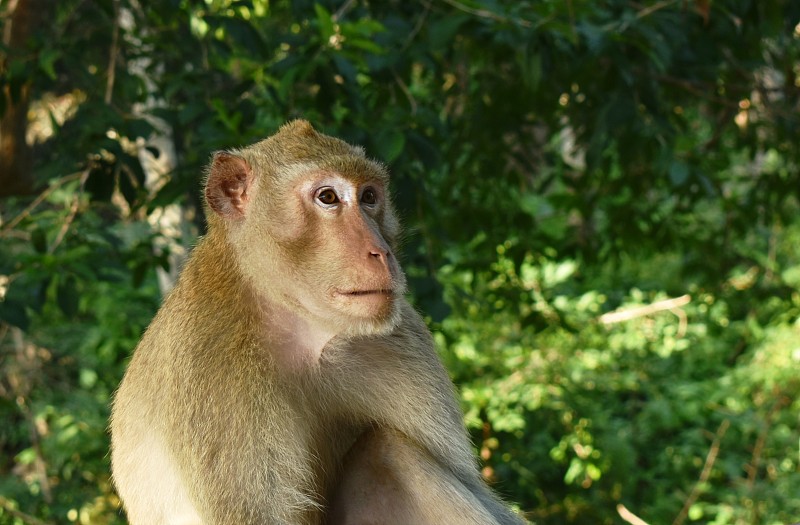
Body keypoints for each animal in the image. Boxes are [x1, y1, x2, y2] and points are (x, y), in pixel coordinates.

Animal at [112, 119, 524, 524]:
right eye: (328, 197)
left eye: (369, 197)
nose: (382, 252)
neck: (293, 320)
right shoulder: (211, 365)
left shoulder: (399, 338)